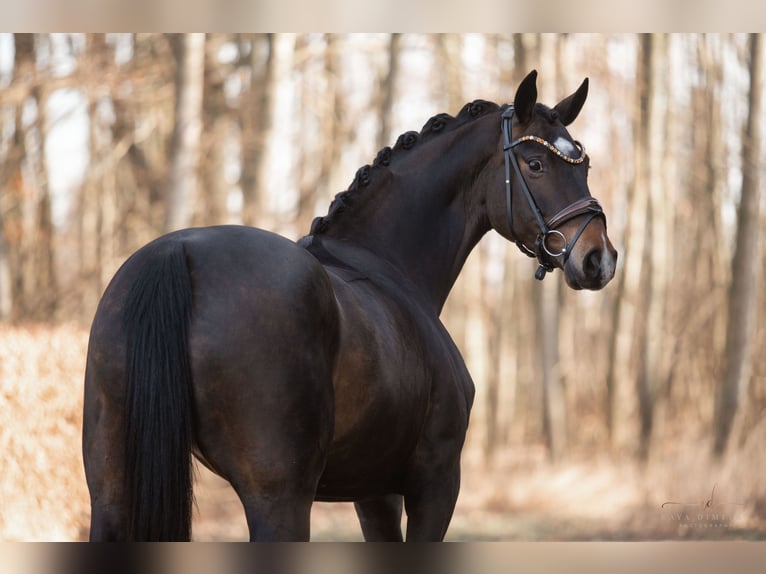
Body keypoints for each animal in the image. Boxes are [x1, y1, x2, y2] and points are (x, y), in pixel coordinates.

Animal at [82, 70, 616, 544]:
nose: (599, 258)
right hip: (280, 499)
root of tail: (178, 254)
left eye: (584, 167)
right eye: (536, 164)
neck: (387, 264)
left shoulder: (373, 493)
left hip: (111, 494)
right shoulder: (436, 481)